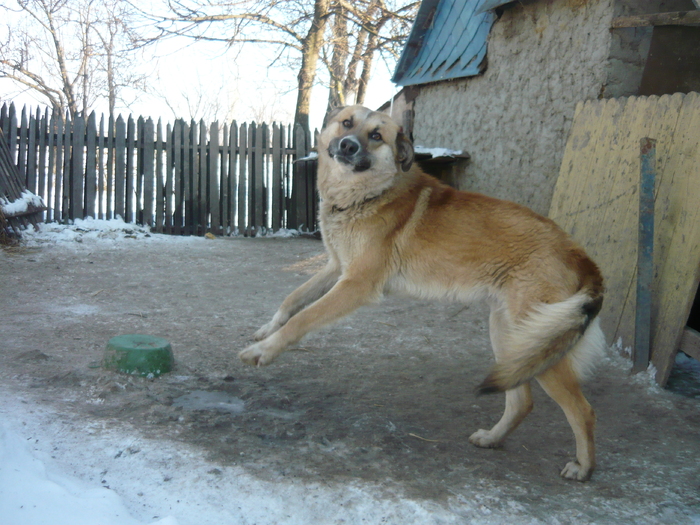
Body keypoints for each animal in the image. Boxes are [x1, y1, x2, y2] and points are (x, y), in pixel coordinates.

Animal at [238, 104, 604, 482]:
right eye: (347, 123)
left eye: (376, 135)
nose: (348, 146)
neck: (364, 195)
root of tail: (582, 256)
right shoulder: (336, 267)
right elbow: (293, 299)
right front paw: (267, 330)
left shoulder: (356, 284)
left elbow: (303, 319)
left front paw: (263, 351)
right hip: (513, 338)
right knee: (522, 401)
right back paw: (492, 438)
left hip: (539, 343)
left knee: (583, 410)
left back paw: (583, 467)